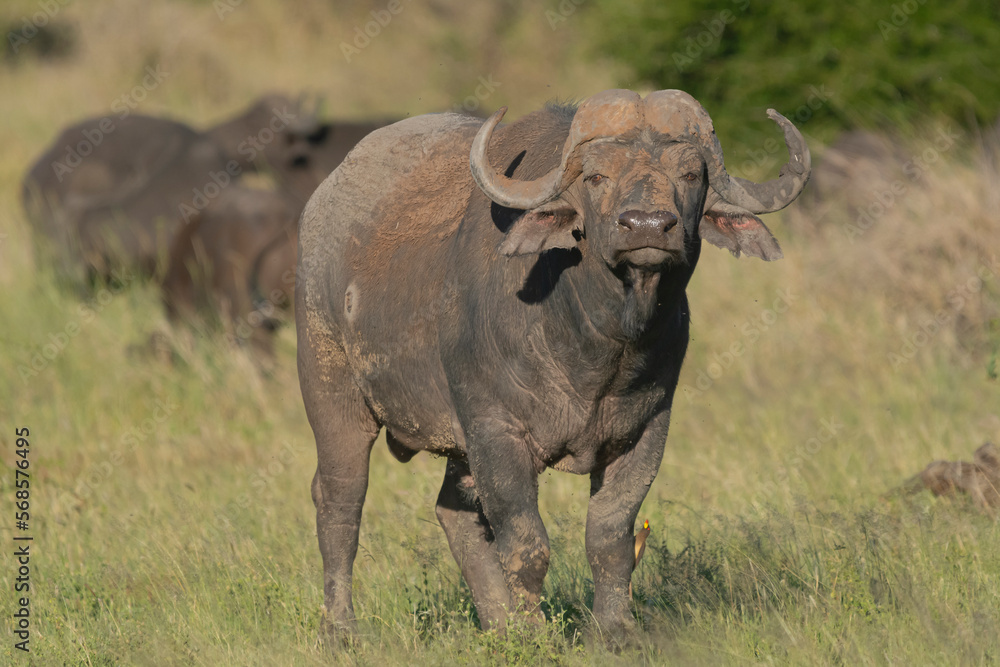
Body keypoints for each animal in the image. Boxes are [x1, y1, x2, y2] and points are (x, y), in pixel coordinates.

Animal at [296, 89, 810, 637]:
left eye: (691, 175)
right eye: (596, 177)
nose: (648, 226)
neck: (595, 344)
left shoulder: (646, 432)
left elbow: (610, 538)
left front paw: (615, 631)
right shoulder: (496, 432)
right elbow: (527, 546)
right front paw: (536, 635)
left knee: (455, 515)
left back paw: (497, 626)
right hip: (334, 396)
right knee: (340, 502)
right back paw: (341, 630)